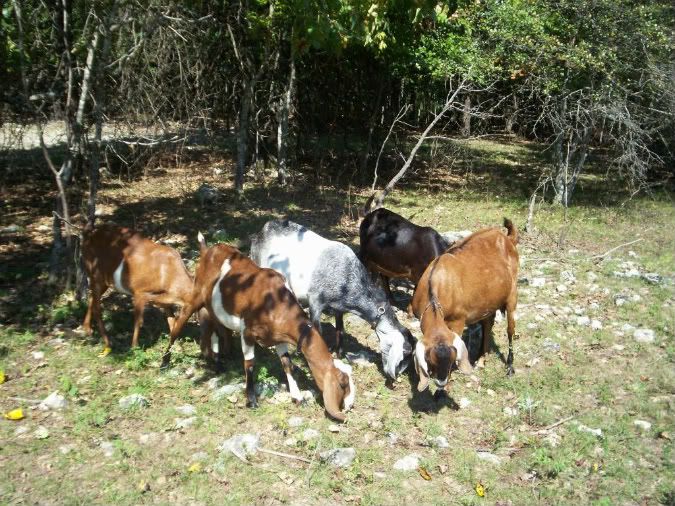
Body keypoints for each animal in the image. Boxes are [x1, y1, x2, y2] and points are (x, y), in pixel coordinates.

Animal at [81, 224, 201, 356]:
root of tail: (87, 238)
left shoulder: (163, 300)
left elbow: (171, 321)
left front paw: (175, 348)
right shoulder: (139, 292)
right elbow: (139, 321)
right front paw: (134, 347)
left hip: (104, 280)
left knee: (92, 299)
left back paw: (87, 329)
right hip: (95, 274)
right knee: (97, 307)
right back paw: (107, 344)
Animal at [162, 234, 355, 422]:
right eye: (343, 383)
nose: (350, 405)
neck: (275, 301)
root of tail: (207, 250)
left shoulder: (279, 336)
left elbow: (287, 364)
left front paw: (297, 396)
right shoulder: (247, 332)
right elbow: (250, 364)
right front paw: (252, 400)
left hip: (214, 309)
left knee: (217, 329)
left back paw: (218, 363)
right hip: (195, 297)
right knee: (178, 326)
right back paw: (165, 362)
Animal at [250, 219, 413, 380]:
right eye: (405, 352)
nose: (395, 376)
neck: (346, 279)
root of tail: (262, 231)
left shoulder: (339, 307)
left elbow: (340, 329)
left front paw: (339, 353)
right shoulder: (315, 301)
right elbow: (317, 331)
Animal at [410, 218, 519, 392]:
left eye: (451, 361)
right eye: (431, 361)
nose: (441, 382)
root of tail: (508, 238)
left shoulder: (458, 321)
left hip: (512, 294)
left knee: (510, 329)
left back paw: (509, 366)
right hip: (488, 301)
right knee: (487, 324)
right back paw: (481, 360)